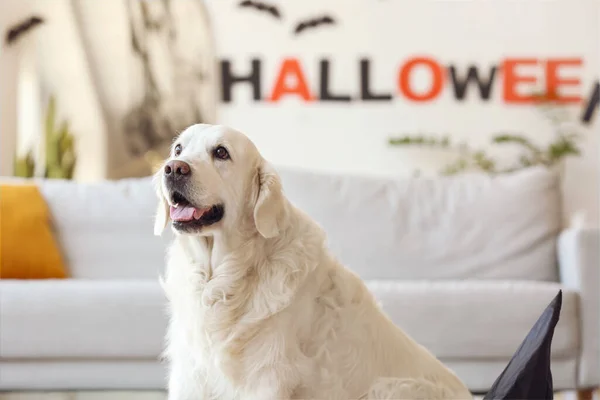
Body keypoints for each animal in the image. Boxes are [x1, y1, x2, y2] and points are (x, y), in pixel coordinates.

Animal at [152, 123, 472, 398]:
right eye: (178, 149)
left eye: (221, 152)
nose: (173, 168)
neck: (222, 276)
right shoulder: (190, 374)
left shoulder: (268, 375)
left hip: (388, 388)